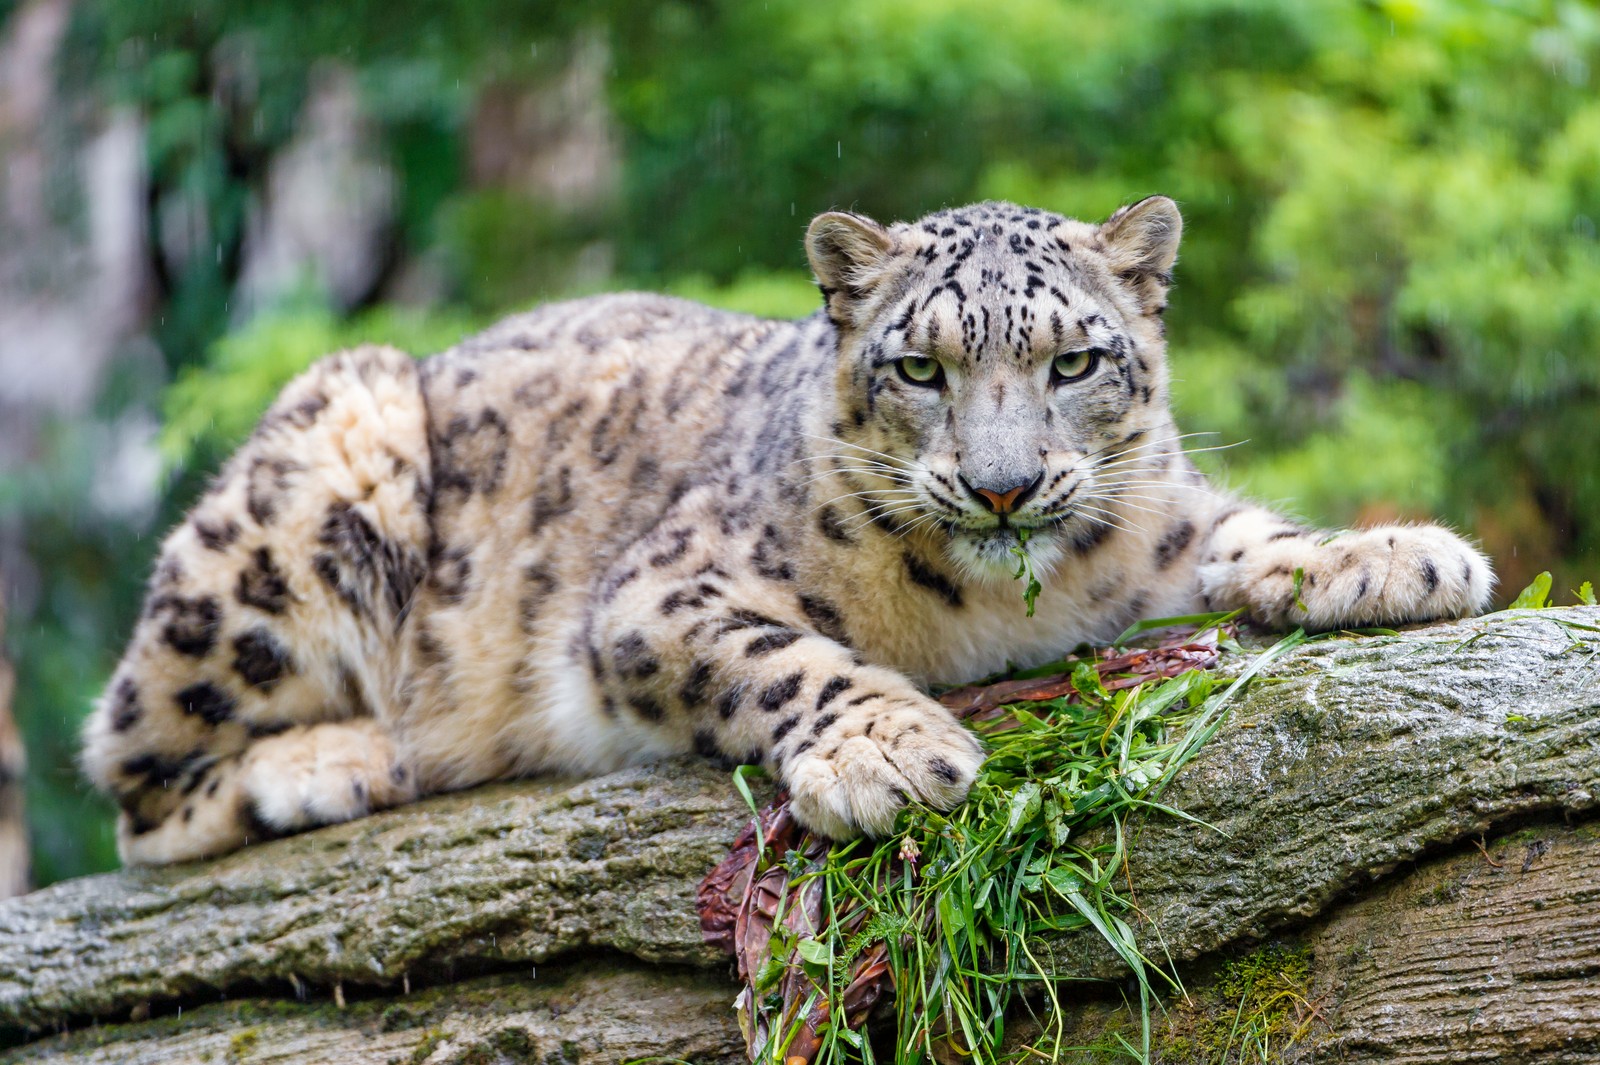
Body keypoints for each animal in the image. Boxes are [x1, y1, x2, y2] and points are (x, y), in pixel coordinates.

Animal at [81, 196, 1491, 863]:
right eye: (919, 367)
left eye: (1076, 360)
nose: (1002, 488)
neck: (997, 609)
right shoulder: (660, 593)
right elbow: (778, 656)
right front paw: (888, 751)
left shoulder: (1157, 530)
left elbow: (1241, 535)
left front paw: (1392, 555)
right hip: (300, 499)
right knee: (132, 779)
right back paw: (337, 763)